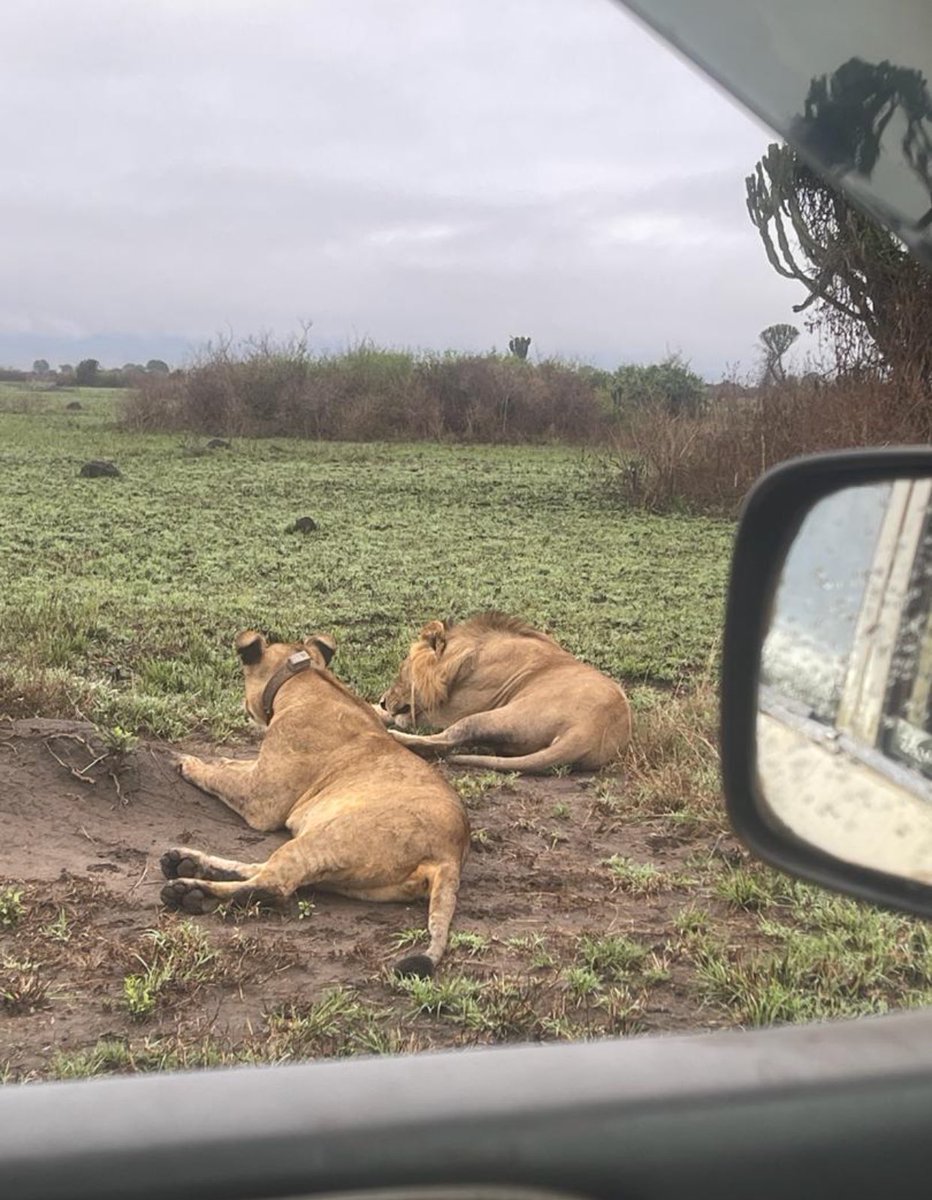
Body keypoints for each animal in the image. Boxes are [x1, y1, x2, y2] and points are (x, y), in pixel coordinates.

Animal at [161, 628, 472, 974]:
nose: (243, 706)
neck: (306, 677)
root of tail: (451, 853)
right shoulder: (259, 773)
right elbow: (230, 765)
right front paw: (213, 759)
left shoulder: (261, 801)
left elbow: (216, 777)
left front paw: (186, 762)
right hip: (345, 877)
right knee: (261, 869)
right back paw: (185, 861)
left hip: (326, 838)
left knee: (273, 885)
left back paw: (189, 890)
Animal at [376, 614, 633, 772]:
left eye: (402, 671)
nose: (383, 701)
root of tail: (589, 731)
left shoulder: (448, 711)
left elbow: (405, 717)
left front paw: (379, 711)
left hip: (496, 715)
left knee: (448, 739)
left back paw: (396, 737)